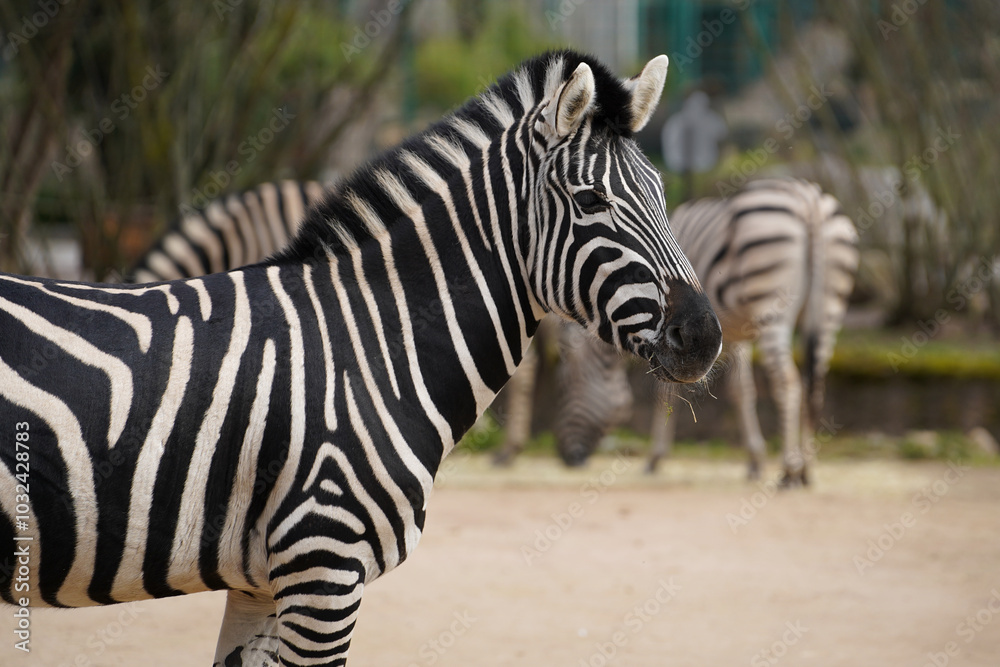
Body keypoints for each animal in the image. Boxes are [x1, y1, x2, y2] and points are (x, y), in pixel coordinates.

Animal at [0, 52, 724, 667]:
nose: (705, 336)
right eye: (590, 201)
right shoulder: (323, 567)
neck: (372, 346)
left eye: (662, 195)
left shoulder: (262, 585)